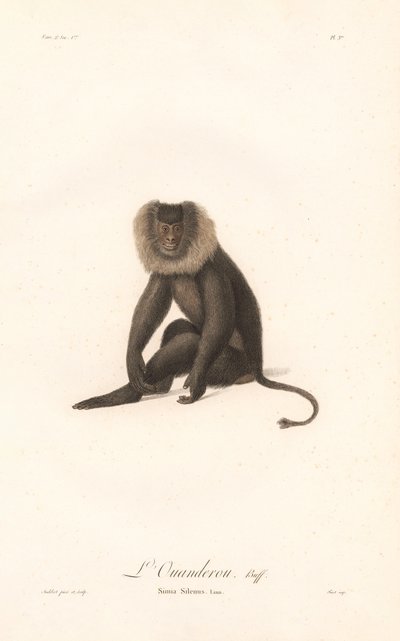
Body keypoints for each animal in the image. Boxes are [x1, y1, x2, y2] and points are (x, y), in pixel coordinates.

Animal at [73, 200, 318, 428]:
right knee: (177, 326)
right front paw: (132, 358)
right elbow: (150, 305)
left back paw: (127, 394)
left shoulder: (210, 266)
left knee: (191, 341)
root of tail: (256, 369)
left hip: (230, 366)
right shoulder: (165, 265)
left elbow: (221, 320)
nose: (170, 240)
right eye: (164, 228)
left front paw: (196, 386)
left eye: (177, 228)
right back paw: (157, 387)